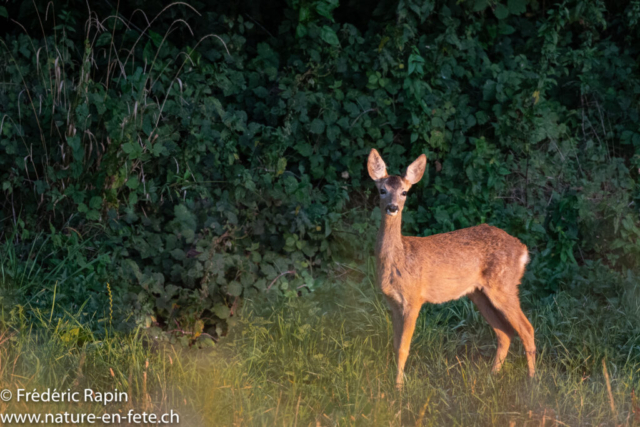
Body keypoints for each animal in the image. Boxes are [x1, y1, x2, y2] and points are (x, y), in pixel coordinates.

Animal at [368, 149, 536, 390]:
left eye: (404, 192)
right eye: (382, 190)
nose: (393, 207)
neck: (398, 260)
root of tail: (523, 250)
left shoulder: (414, 299)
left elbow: (403, 347)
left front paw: (399, 388)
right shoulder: (392, 302)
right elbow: (394, 345)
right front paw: (396, 383)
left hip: (504, 286)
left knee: (526, 329)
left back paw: (532, 381)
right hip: (478, 293)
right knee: (505, 332)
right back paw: (491, 377)